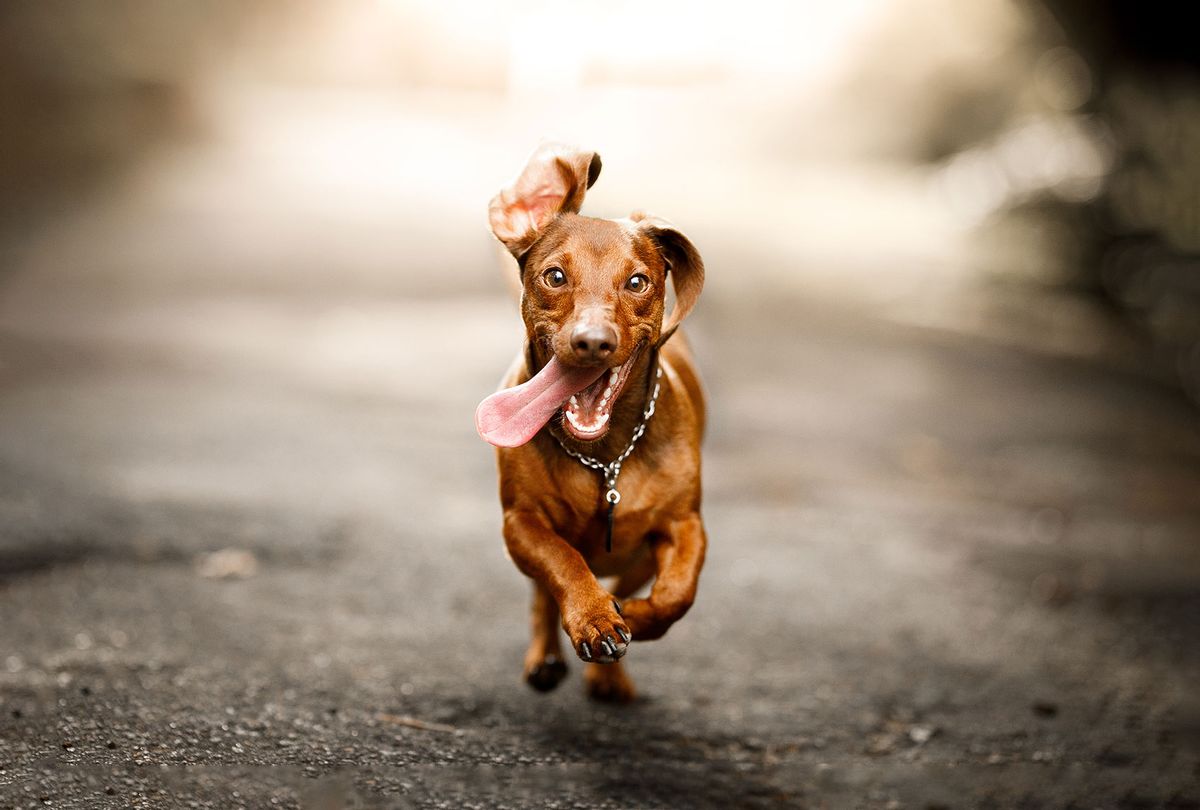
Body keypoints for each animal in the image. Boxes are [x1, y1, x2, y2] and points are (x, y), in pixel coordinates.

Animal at [475, 142, 705, 700]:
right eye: (555, 275)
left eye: (638, 282)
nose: (593, 342)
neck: (605, 457)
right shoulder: (521, 524)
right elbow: (563, 563)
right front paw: (594, 617)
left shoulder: (685, 524)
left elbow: (676, 595)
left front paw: (633, 618)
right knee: (542, 595)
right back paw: (546, 656)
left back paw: (610, 674)